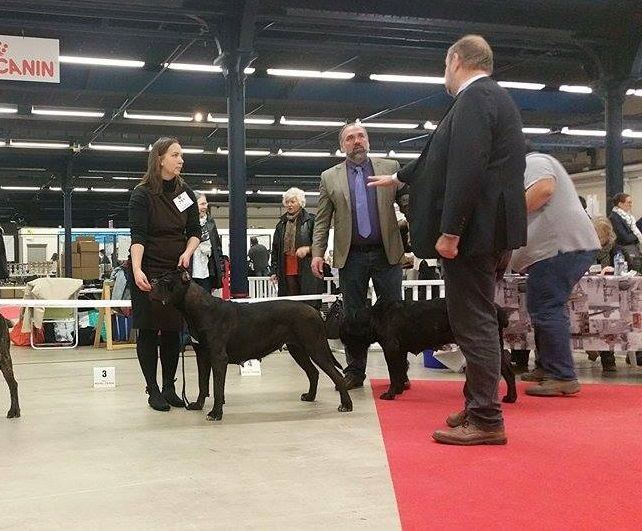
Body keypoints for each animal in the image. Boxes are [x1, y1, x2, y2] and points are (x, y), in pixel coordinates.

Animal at [148, 270, 352, 424]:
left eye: (166, 280)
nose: (151, 280)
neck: (198, 309)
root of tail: (315, 311)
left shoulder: (218, 358)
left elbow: (217, 387)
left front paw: (215, 413)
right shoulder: (202, 356)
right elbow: (202, 384)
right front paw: (198, 405)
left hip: (315, 348)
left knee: (336, 375)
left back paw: (346, 405)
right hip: (297, 349)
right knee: (313, 372)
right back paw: (310, 396)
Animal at [336, 300, 516, 404]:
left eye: (347, 338)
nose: (349, 353)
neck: (375, 317)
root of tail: (498, 309)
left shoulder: (391, 350)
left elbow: (394, 373)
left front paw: (391, 393)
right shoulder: (400, 351)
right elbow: (400, 371)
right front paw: (399, 390)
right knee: (508, 372)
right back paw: (511, 397)